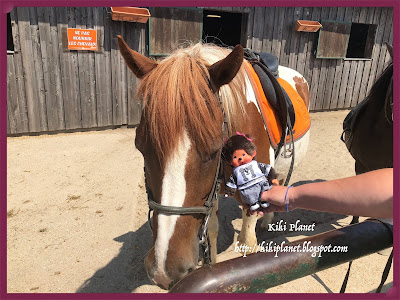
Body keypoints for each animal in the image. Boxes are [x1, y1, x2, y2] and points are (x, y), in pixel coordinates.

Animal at [117, 36, 310, 290]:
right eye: (140, 146)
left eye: (215, 148)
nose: (164, 270)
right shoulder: (211, 195)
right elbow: (212, 235)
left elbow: (247, 245)